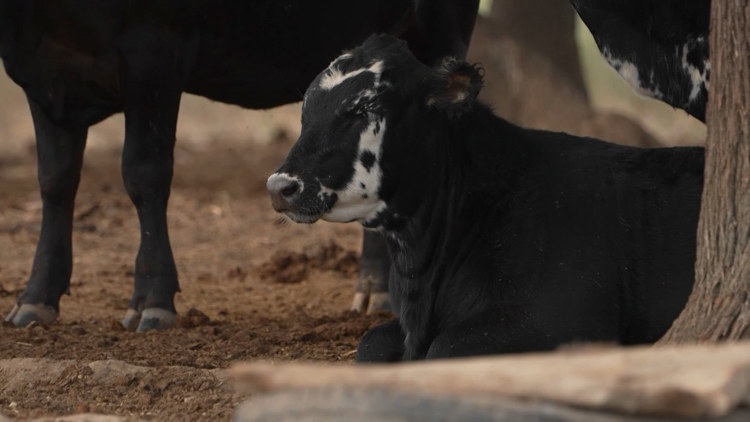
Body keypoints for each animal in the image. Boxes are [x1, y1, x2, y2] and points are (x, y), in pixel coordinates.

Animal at [0, 0, 479, 331]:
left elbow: (143, 174)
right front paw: (36, 297)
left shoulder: (154, 53)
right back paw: (375, 288)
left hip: (440, 33)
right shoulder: (46, 81)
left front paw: (152, 299)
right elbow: (55, 181)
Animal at [267, 34, 704, 361]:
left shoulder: (558, 318)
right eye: (306, 110)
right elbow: (370, 343)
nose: (280, 186)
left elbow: (445, 348)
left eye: (364, 108)